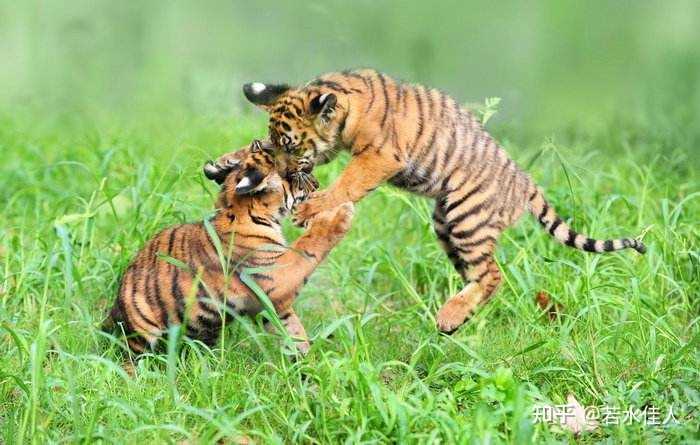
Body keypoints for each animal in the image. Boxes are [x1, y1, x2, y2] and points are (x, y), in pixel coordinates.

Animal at [104, 140, 354, 354]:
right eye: (294, 176)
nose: (318, 184)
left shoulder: (270, 300)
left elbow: (291, 327)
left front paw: (303, 360)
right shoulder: (276, 274)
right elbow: (308, 243)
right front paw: (341, 213)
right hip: (142, 329)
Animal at [207, 68, 646, 334]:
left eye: (292, 147)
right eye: (278, 146)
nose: (287, 177)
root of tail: (525, 181)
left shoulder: (380, 156)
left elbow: (348, 183)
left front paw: (312, 206)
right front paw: (224, 162)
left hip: (466, 215)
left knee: (494, 275)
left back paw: (448, 318)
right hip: (446, 224)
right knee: (480, 276)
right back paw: (459, 315)